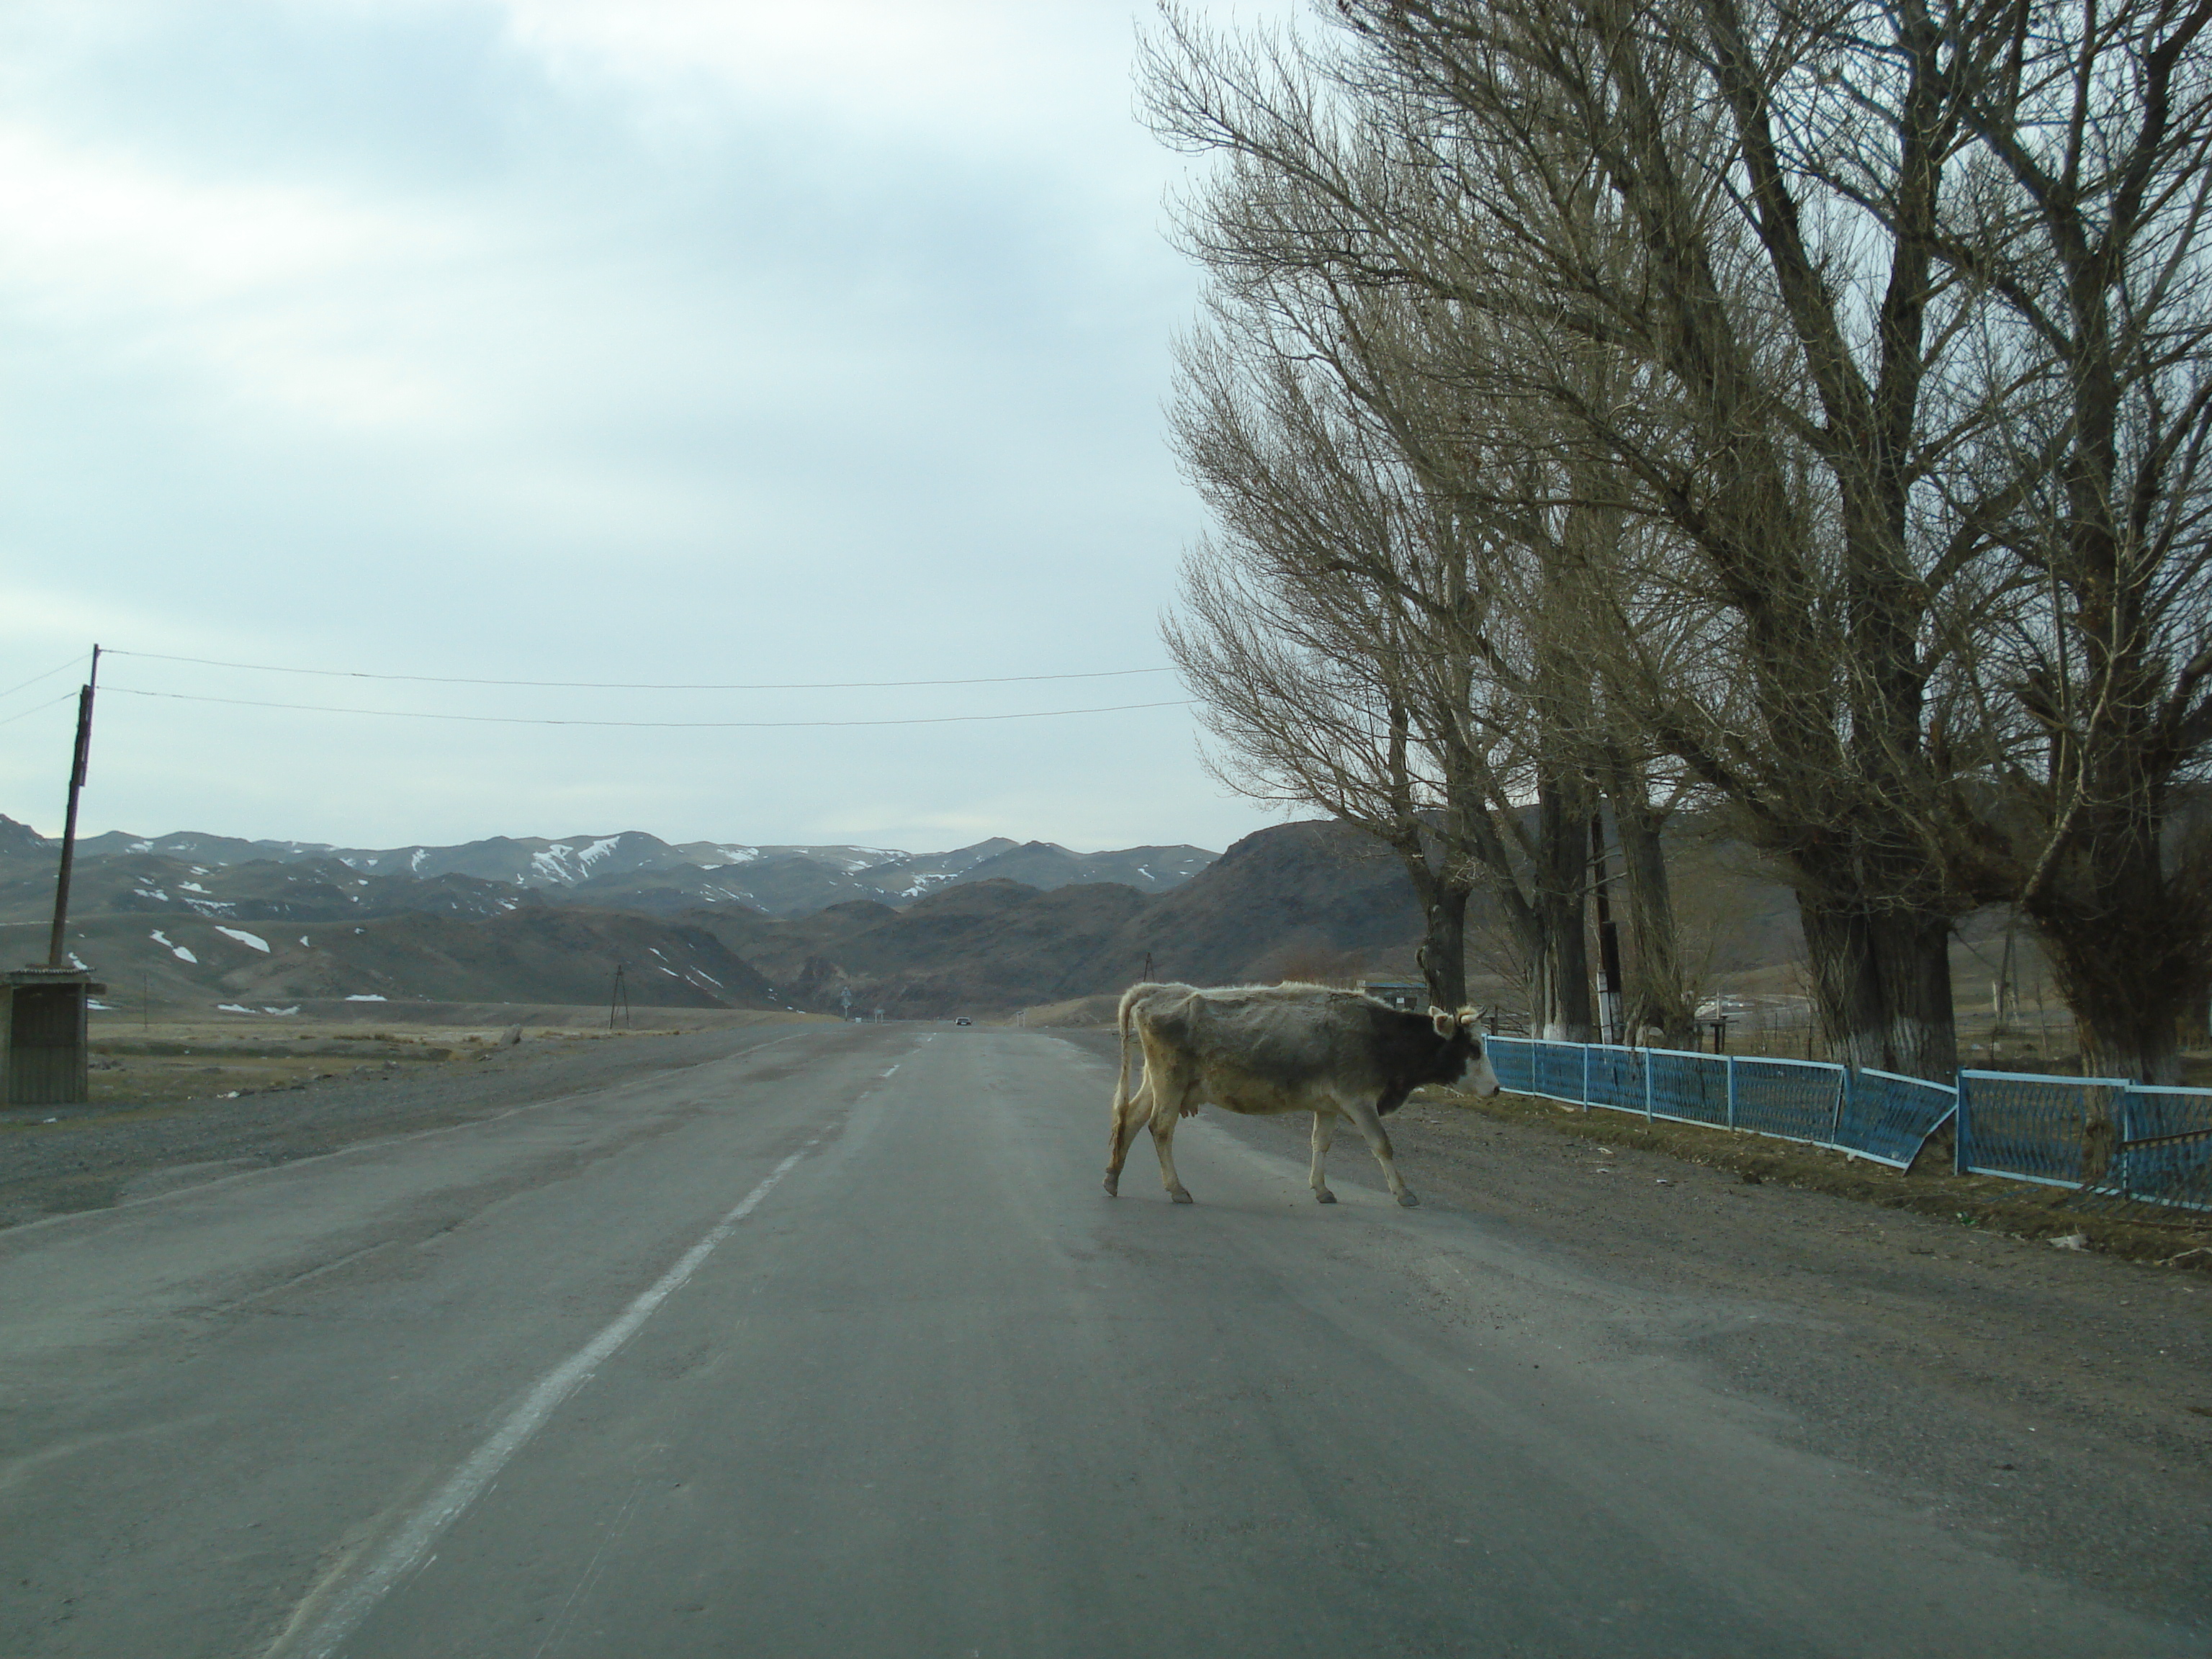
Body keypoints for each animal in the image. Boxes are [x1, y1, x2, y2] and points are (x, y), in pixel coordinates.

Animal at [1106, 981, 1503, 1212]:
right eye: (1472, 1049)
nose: (1497, 1088)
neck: (1380, 1035)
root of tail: (1157, 990)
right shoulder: (1358, 1100)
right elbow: (1382, 1145)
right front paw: (1404, 1193)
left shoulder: (1328, 1105)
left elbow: (1320, 1143)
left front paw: (1321, 1188)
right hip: (1170, 1083)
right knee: (1160, 1128)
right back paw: (1176, 1189)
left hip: (1158, 1083)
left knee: (1132, 1117)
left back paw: (1112, 1177)